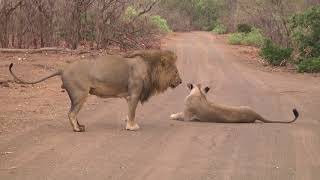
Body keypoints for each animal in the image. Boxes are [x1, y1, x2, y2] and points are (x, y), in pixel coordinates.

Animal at [8, 50, 181, 131]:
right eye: (175, 72)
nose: (180, 81)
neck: (149, 68)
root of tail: (63, 68)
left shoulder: (130, 97)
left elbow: (129, 112)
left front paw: (128, 122)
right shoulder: (134, 94)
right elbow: (132, 112)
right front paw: (132, 126)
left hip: (76, 96)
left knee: (72, 112)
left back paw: (80, 126)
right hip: (80, 94)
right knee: (71, 113)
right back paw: (77, 129)